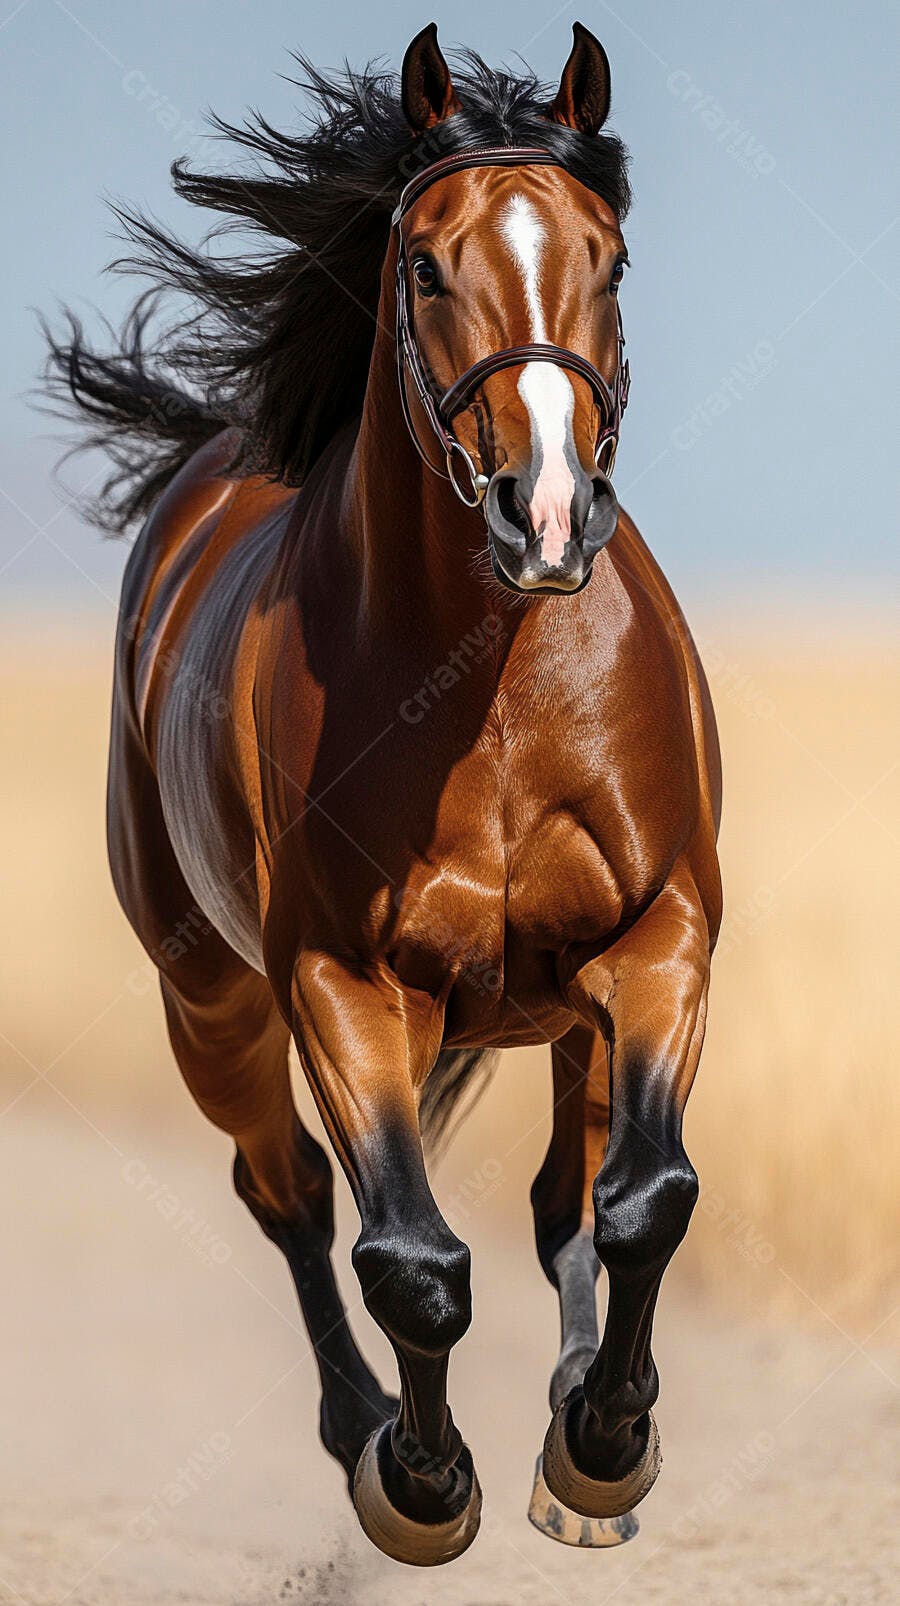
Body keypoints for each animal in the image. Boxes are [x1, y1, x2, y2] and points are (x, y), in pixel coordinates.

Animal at [45, 22, 722, 1566]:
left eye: (612, 256)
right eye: (422, 263)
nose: (547, 510)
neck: (497, 682)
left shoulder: (657, 936)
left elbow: (643, 1198)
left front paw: (604, 1446)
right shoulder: (344, 982)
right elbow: (407, 1257)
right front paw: (419, 1481)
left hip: (563, 1010)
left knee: (566, 1198)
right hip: (212, 1003)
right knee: (291, 1193)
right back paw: (365, 1424)